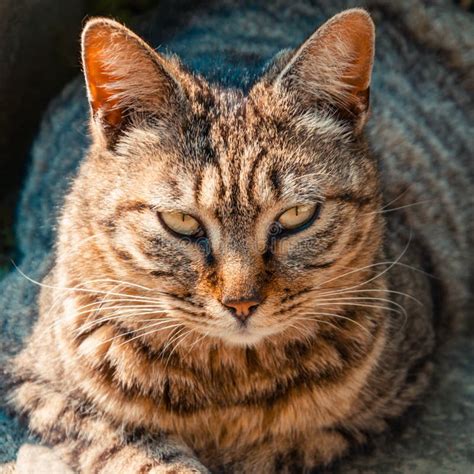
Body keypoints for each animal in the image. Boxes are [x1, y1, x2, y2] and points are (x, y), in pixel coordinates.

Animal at [11, 8, 448, 474]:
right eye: (182, 221)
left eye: (296, 216)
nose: (242, 304)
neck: (228, 382)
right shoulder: (36, 385)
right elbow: (138, 451)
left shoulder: (391, 392)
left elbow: (285, 446)